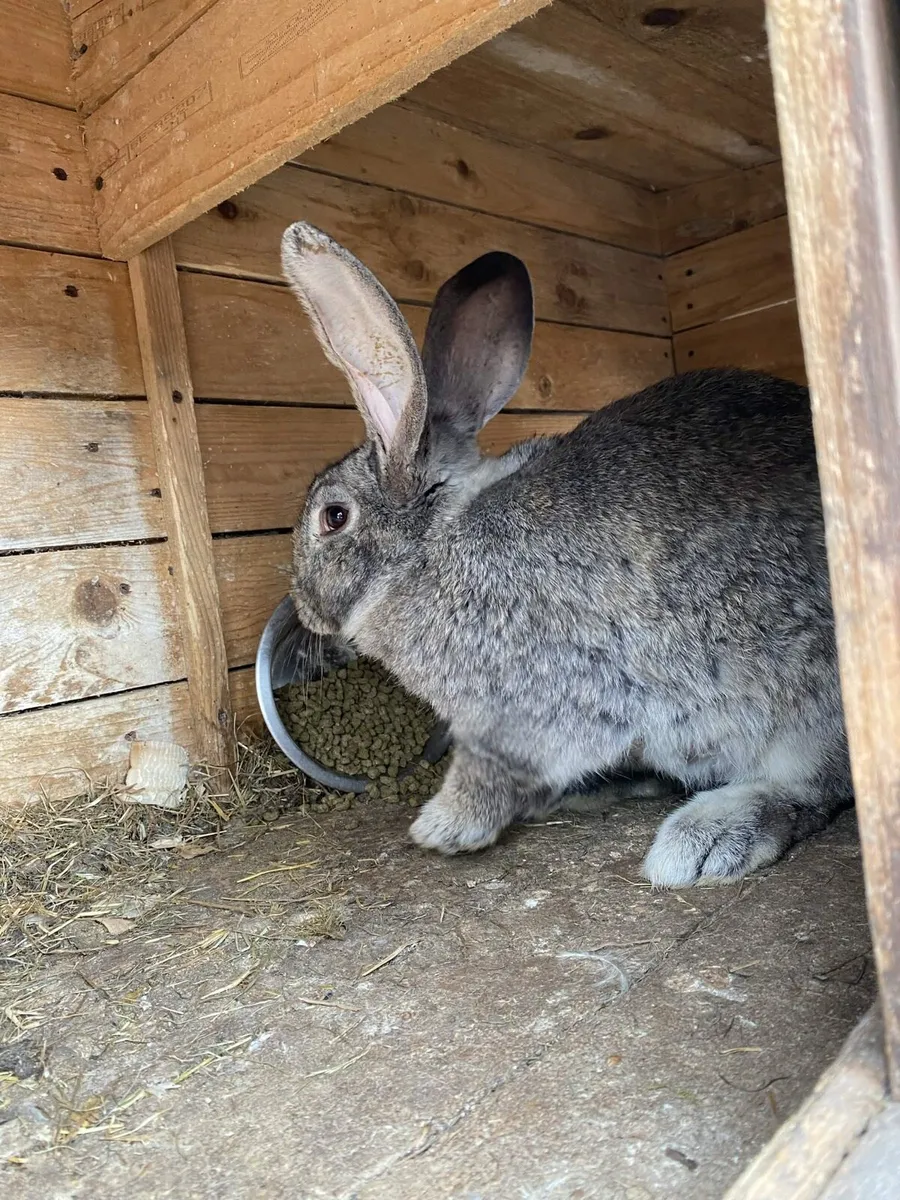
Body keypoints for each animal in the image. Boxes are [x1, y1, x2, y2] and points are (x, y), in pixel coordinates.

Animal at [280, 221, 852, 887]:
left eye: (333, 517)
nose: (302, 606)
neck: (427, 546)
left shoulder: (525, 708)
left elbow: (490, 772)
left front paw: (439, 828)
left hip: (806, 710)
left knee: (817, 787)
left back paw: (707, 839)